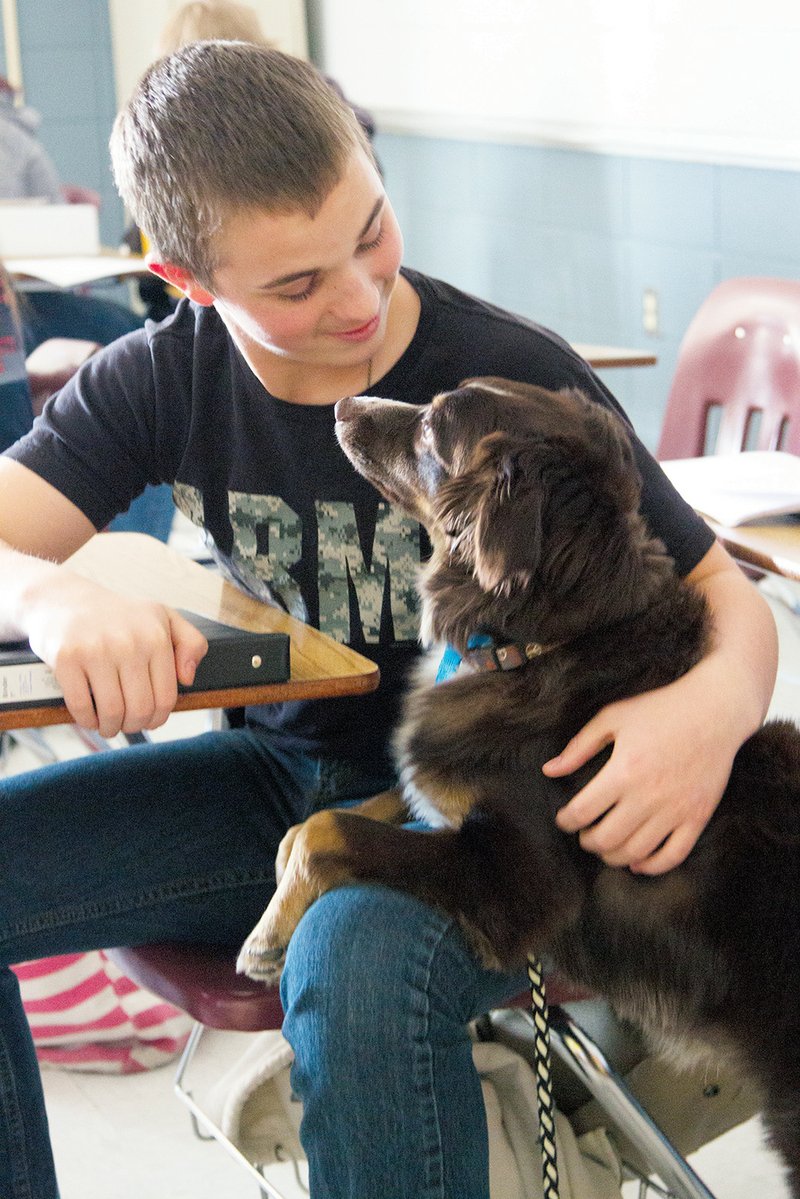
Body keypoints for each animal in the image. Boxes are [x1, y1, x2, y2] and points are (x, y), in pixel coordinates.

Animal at [241, 376, 800, 1189]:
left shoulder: (522, 887)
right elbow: (333, 814)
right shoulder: (441, 788)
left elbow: (334, 828)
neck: (540, 643)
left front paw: (265, 935)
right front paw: (279, 896)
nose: (342, 406)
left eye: (434, 427)